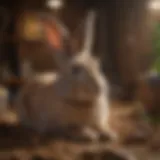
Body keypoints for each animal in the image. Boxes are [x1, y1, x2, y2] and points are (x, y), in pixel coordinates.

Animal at [15, 10, 114, 141]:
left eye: (97, 64)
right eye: (75, 69)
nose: (99, 88)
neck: (82, 103)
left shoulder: (100, 121)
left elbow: (102, 126)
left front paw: (110, 134)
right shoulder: (59, 125)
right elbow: (73, 129)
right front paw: (89, 135)